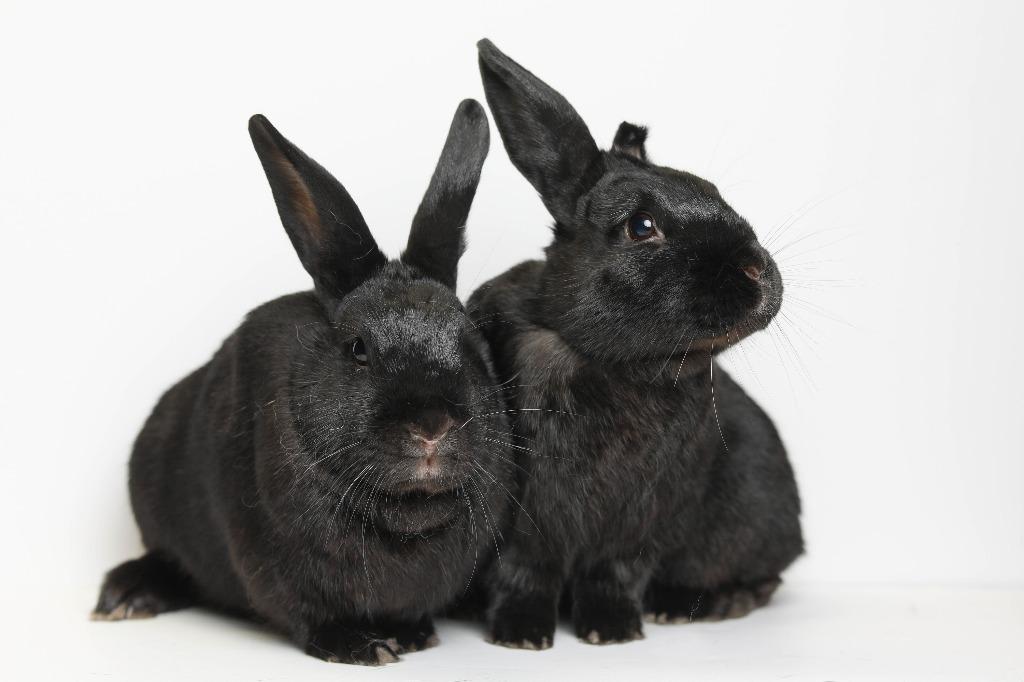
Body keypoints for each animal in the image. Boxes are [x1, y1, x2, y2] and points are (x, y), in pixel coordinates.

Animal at [91, 99, 517, 666]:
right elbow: (309, 616)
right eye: (358, 349)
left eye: (470, 342)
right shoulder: (275, 567)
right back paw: (126, 596)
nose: (432, 426)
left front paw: (410, 636)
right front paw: (363, 647)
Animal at [467, 39, 803, 649]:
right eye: (641, 226)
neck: (615, 364)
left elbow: (615, 573)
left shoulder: (644, 519)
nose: (757, 273)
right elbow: (525, 571)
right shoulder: (524, 520)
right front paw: (521, 635)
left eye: (715, 191)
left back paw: (708, 604)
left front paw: (612, 632)